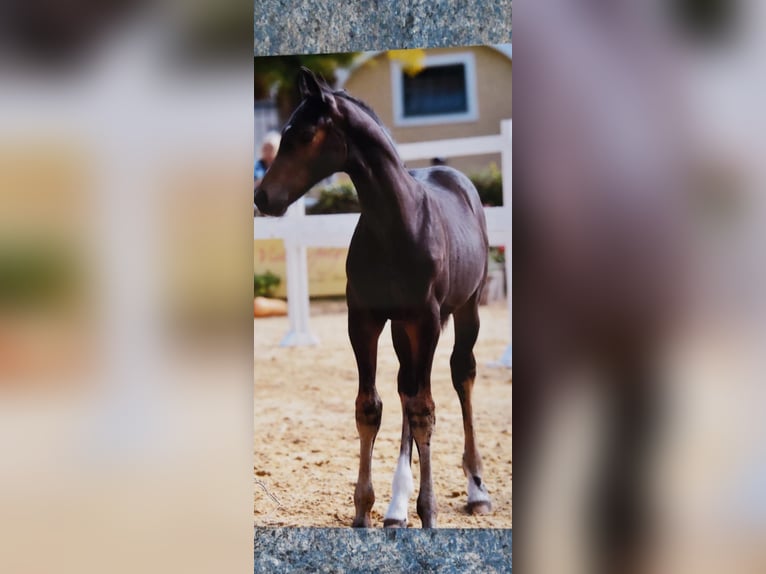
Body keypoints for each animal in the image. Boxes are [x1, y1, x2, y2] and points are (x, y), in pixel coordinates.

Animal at [255, 67, 496, 532]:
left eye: (305, 134)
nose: (262, 197)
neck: (398, 224)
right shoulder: (364, 319)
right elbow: (370, 407)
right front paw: (364, 512)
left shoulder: (427, 319)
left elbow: (425, 411)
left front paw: (429, 512)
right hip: (401, 326)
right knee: (404, 386)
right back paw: (396, 506)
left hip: (465, 310)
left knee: (462, 376)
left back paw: (476, 490)